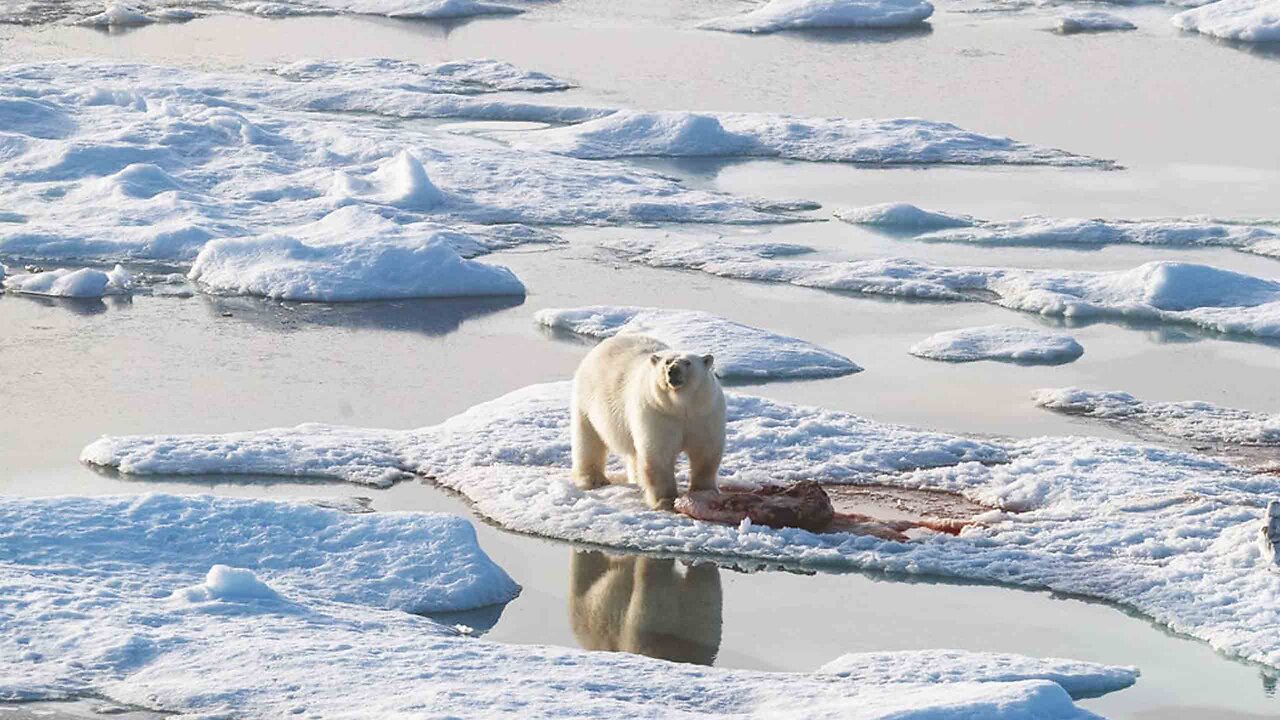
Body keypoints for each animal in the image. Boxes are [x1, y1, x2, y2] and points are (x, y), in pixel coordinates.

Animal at [568, 333, 721, 507]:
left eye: (688, 362)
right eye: (667, 362)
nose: (672, 371)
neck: (681, 407)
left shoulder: (704, 413)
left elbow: (706, 452)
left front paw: (705, 492)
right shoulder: (657, 412)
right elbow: (658, 455)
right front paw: (665, 500)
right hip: (587, 402)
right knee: (588, 440)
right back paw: (594, 479)